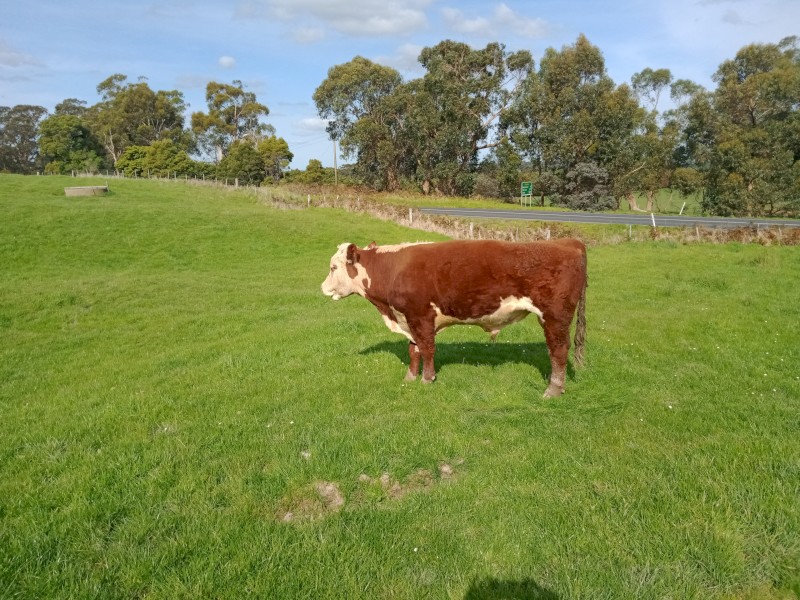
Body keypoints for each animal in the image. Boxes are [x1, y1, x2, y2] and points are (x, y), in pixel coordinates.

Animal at [321, 239, 587, 397]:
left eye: (333, 267)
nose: (322, 288)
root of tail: (567, 241)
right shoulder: (408, 318)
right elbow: (413, 350)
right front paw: (410, 378)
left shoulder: (421, 316)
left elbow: (427, 349)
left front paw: (427, 379)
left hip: (554, 317)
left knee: (558, 351)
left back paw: (553, 389)